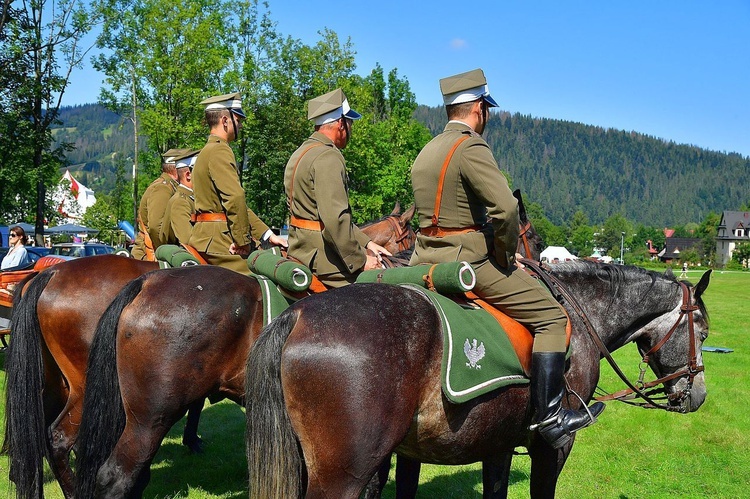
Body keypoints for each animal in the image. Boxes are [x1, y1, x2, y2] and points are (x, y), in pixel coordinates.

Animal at [245, 264, 712, 498]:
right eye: (704, 332)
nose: (700, 396)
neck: (578, 315)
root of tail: (296, 315)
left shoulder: (497, 444)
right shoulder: (554, 447)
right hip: (342, 475)